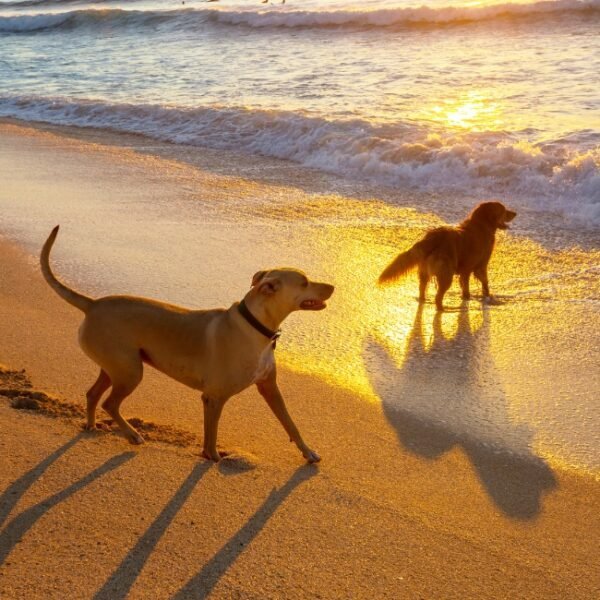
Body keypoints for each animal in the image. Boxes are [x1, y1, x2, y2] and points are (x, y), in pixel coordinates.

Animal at [40, 226, 336, 464]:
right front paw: (213, 457)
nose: (333, 286)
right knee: (110, 403)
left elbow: (290, 423)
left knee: (93, 394)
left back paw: (91, 425)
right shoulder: (214, 398)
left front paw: (308, 452)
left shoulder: (270, 388)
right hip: (130, 372)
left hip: (116, 366)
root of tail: (93, 304)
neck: (254, 325)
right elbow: (211, 434)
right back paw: (133, 435)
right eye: (305, 282)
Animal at [380, 203, 516, 312]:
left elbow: (465, 284)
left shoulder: (466, 270)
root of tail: (432, 237)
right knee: (438, 296)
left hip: (425, 272)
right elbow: (485, 282)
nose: (515, 213)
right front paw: (487, 296)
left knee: (422, 288)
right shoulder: (481, 265)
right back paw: (442, 309)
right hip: (446, 274)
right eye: (503, 210)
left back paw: (424, 300)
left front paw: (466, 296)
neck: (482, 224)